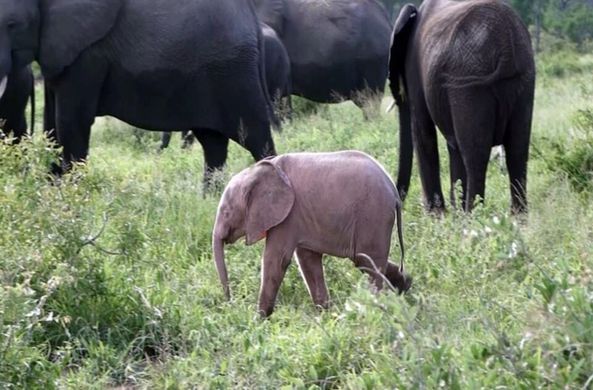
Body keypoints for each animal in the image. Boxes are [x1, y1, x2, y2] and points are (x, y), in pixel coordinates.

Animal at [1, 0, 276, 183]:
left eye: (12, 25)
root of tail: (253, 19)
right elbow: (53, 125)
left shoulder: (89, 54)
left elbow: (71, 122)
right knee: (213, 144)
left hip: (235, 72)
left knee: (256, 137)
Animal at [213, 149, 412, 316]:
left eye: (226, 212)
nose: (230, 303)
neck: (259, 170)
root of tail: (393, 191)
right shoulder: (298, 218)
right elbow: (307, 259)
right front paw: (325, 315)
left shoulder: (288, 217)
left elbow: (275, 260)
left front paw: (259, 320)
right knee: (368, 261)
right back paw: (405, 287)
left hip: (373, 215)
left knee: (367, 263)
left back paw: (373, 310)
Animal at [390, 0, 536, 213]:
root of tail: (505, 45)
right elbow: (452, 144)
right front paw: (453, 214)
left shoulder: (415, 70)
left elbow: (423, 134)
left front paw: (439, 216)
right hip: (522, 79)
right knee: (517, 150)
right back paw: (516, 219)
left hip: (469, 83)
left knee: (476, 155)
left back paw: (474, 217)